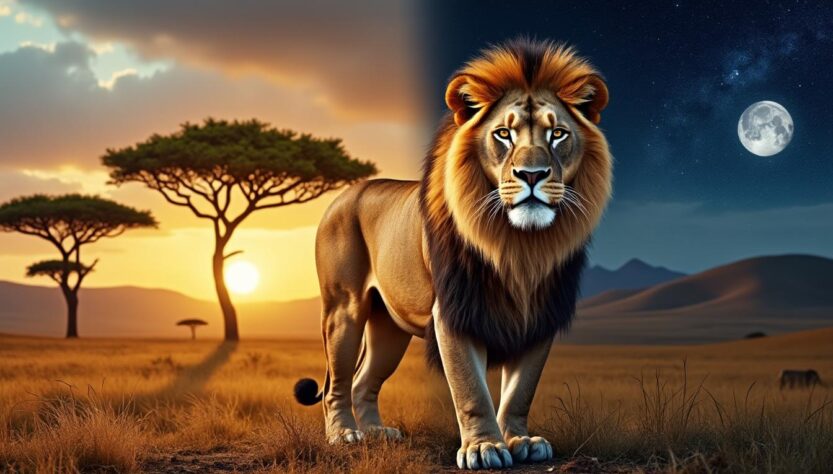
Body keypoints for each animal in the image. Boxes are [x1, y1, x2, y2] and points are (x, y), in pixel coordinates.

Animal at [294, 38, 612, 470]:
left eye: (558, 134)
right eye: (503, 134)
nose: (532, 175)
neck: (520, 248)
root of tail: (346, 193)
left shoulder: (541, 314)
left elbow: (521, 389)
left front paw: (520, 439)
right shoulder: (454, 311)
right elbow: (470, 387)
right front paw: (484, 447)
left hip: (389, 327)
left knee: (364, 381)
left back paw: (376, 433)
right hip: (344, 309)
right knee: (338, 385)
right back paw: (344, 435)